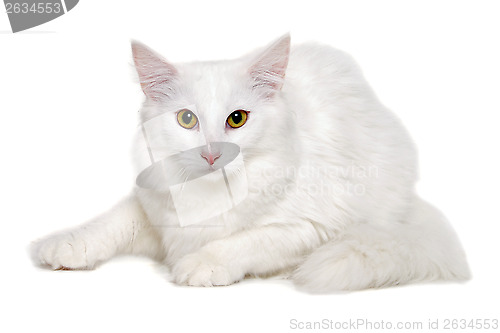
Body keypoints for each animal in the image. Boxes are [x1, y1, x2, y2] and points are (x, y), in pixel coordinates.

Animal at [30, 34, 468, 290]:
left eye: (237, 119)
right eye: (186, 119)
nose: (211, 154)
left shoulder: (311, 226)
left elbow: (244, 241)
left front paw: (200, 265)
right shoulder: (156, 209)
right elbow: (111, 223)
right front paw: (67, 246)